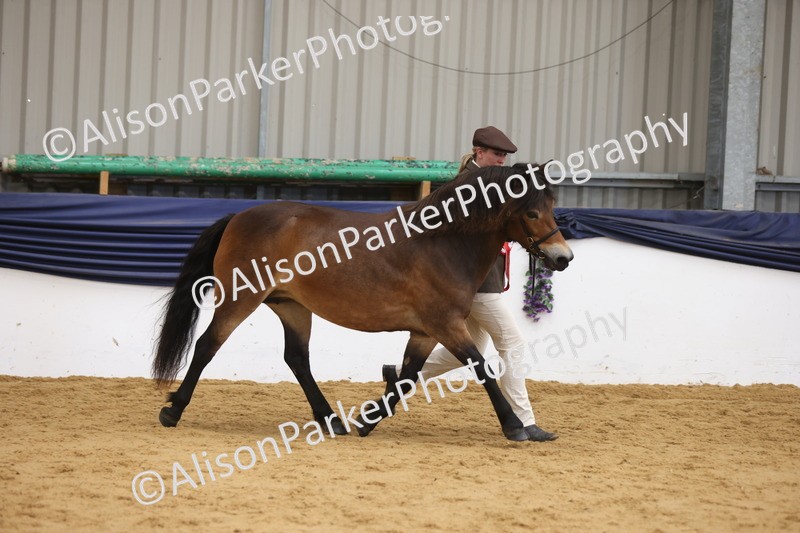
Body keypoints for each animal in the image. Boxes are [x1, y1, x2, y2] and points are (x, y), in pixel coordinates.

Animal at [152, 162, 573, 441]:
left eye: (552, 208)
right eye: (532, 211)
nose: (563, 258)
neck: (442, 242)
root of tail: (238, 217)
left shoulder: (425, 331)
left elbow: (408, 376)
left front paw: (367, 420)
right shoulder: (446, 324)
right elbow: (481, 368)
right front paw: (515, 426)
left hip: (292, 307)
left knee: (297, 359)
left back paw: (331, 420)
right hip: (241, 298)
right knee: (208, 345)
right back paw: (172, 410)